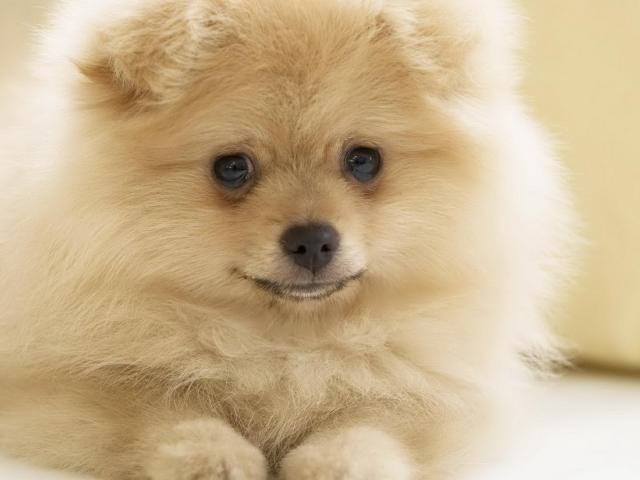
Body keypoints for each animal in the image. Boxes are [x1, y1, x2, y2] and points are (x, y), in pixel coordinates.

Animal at [0, 0, 575, 478]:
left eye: (363, 160)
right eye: (232, 168)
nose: (313, 240)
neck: (285, 341)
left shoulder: (438, 392)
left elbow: (374, 419)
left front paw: (337, 463)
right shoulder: (62, 380)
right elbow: (162, 407)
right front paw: (211, 457)